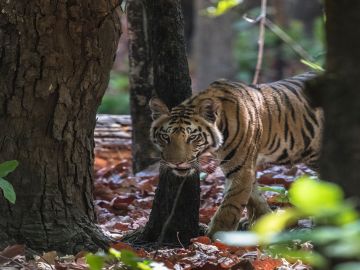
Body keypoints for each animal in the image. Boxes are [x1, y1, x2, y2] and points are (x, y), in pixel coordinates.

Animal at [149, 73, 324, 237]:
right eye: (165, 137)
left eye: (192, 137)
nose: (176, 163)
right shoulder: (243, 167)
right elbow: (254, 196)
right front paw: (264, 221)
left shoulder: (241, 169)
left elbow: (230, 205)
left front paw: (215, 238)